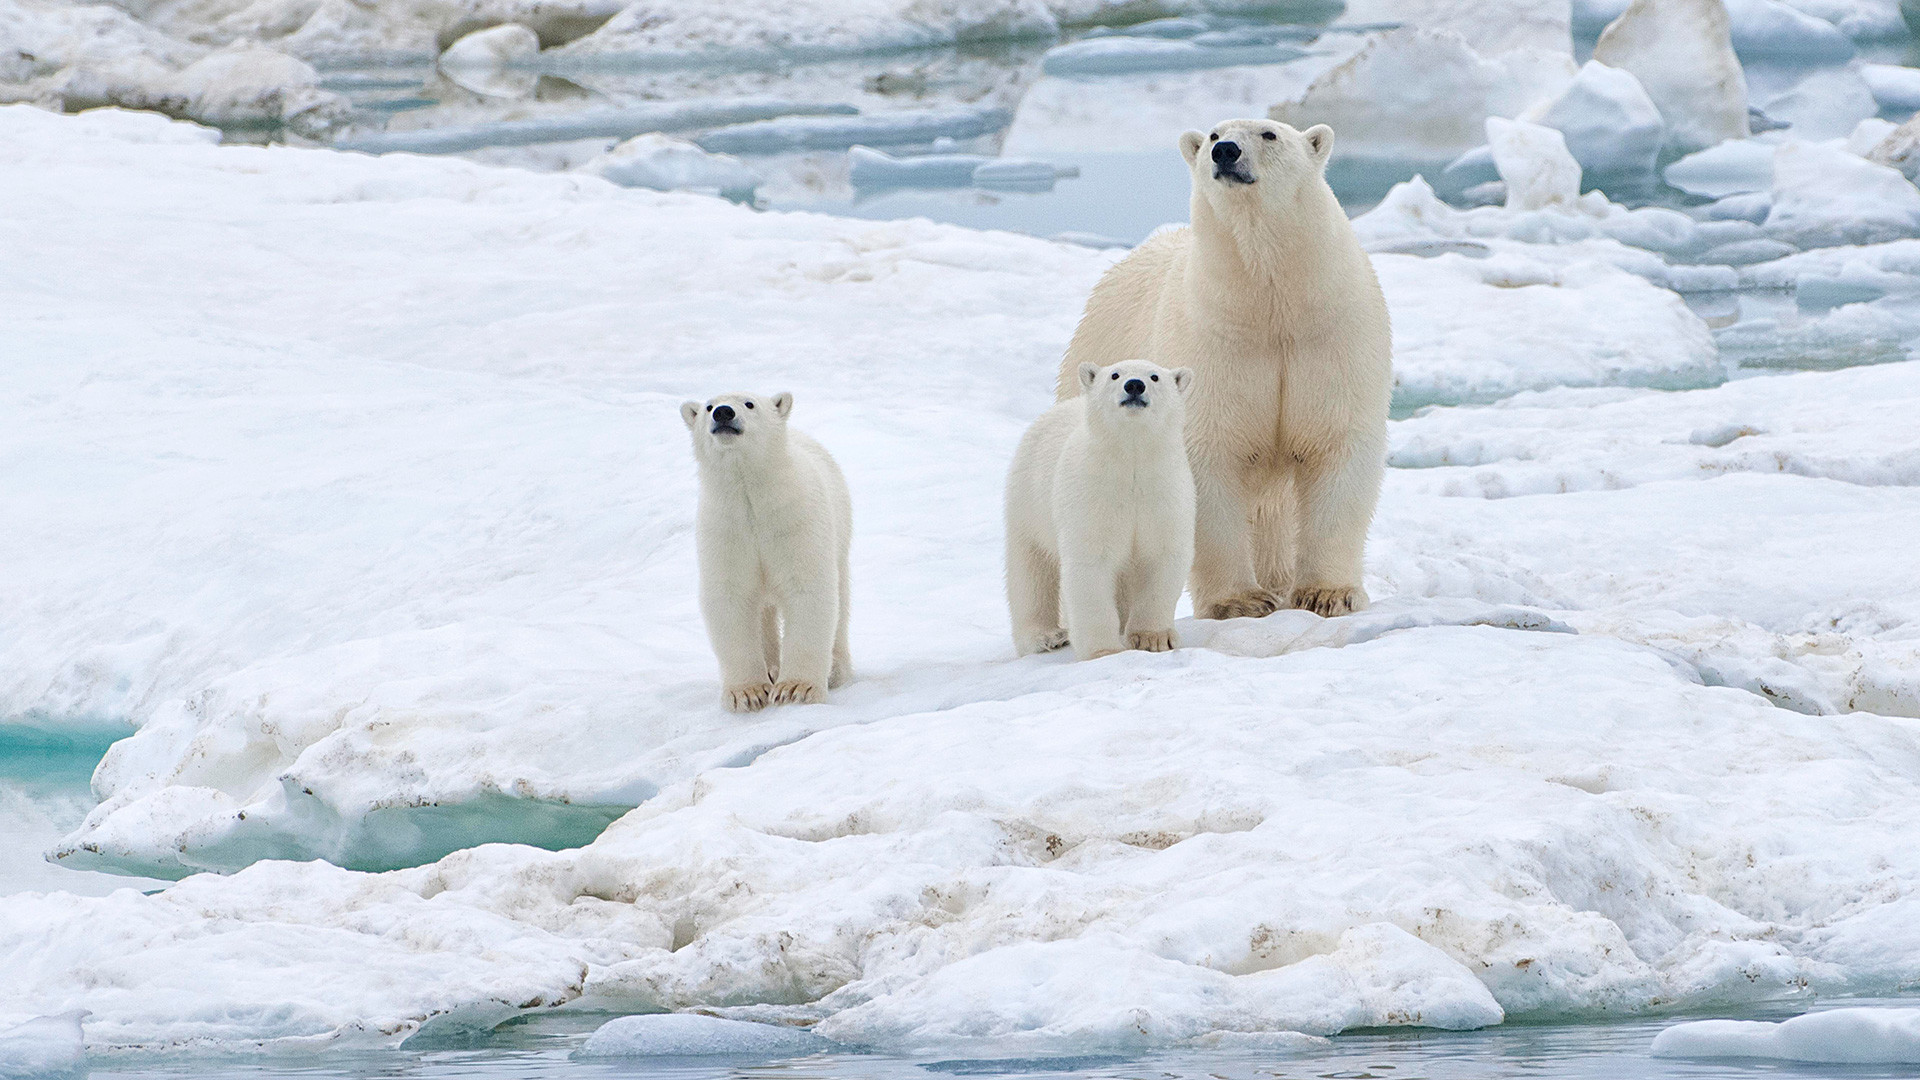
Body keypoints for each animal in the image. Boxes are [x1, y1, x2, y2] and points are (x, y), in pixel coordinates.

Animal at [679, 390, 852, 711]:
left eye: (749, 404)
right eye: (708, 406)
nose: (723, 413)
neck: (752, 499)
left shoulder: (795, 521)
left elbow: (808, 590)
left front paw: (798, 688)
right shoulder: (727, 531)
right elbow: (731, 597)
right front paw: (747, 693)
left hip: (840, 537)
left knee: (841, 600)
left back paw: (835, 669)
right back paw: (771, 668)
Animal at [1013, 357, 1190, 657]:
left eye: (1154, 376)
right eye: (1115, 375)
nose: (1134, 385)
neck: (1131, 462)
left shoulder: (1164, 493)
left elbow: (1161, 557)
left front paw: (1154, 638)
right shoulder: (1091, 494)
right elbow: (1091, 564)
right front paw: (1104, 651)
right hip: (1028, 502)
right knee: (1031, 571)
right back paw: (1046, 636)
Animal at [1059, 116, 1390, 614]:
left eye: (1270, 134)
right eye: (1214, 135)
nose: (1226, 152)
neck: (1272, 306)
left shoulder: (1331, 336)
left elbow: (1336, 443)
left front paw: (1327, 593)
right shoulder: (1213, 342)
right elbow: (1209, 456)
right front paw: (1240, 601)